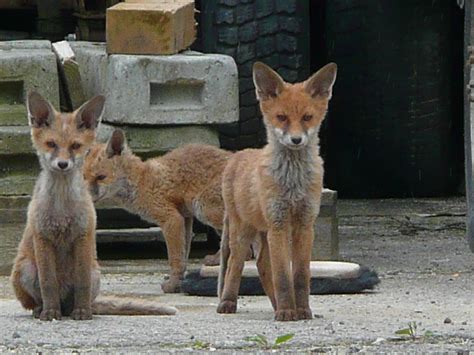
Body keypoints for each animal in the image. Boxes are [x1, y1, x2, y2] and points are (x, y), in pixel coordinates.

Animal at [11, 93, 178, 322]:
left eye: (75, 146)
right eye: (51, 144)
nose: (62, 164)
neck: (62, 206)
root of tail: (65, 305)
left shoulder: (83, 235)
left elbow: (82, 283)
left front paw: (82, 313)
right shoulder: (42, 237)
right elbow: (48, 283)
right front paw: (50, 313)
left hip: (95, 274)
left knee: (80, 299)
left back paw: (79, 310)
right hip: (25, 269)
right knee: (39, 300)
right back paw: (43, 310)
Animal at [84, 132, 235, 294]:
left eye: (101, 177)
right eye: (84, 177)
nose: (86, 197)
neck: (141, 181)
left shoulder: (171, 219)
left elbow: (175, 259)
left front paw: (174, 285)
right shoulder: (185, 218)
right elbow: (183, 255)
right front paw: (178, 280)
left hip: (205, 209)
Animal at [218, 62, 336, 322]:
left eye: (307, 118)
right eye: (281, 117)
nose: (296, 139)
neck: (293, 183)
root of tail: (236, 156)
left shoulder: (304, 224)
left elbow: (300, 276)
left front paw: (301, 311)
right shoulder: (279, 223)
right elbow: (283, 275)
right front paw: (286, 312)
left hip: (264, 232)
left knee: (262, 266)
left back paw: (275, 305)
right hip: (244, 232)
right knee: (234, 265)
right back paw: (228, 303)